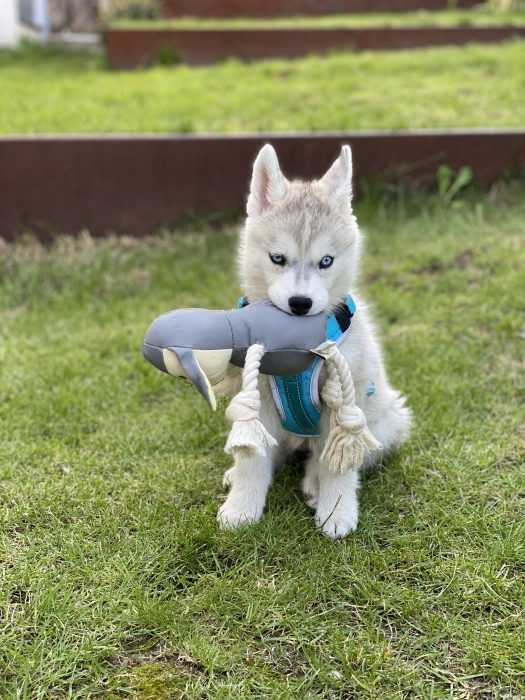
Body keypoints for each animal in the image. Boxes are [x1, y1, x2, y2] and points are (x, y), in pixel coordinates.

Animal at [216, 144, 410, 540]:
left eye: (326, 261)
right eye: (277, 258)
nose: (300, 303)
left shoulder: (343, 406)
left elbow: (338, 464)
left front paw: (336, 511)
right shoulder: (257, 397)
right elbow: (253, 458)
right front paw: (242, 507)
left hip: (387, 421)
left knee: (329, 457)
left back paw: (314, 484)